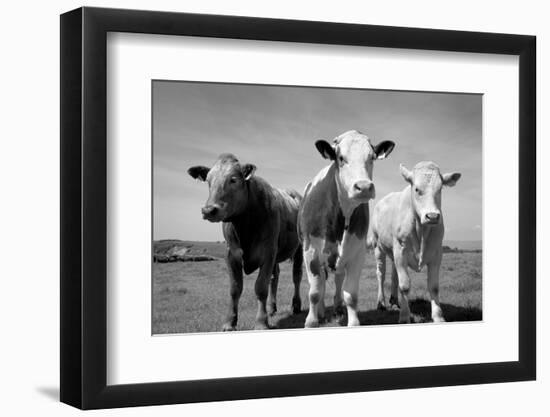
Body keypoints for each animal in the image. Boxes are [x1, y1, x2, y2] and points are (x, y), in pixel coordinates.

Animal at [188, 154, 304, 330]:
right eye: (208, 180)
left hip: (299, 248)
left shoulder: (268, 252)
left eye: (233, 180)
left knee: (296, 276)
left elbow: (261, 287)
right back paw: (271, 308)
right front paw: (229, 322)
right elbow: (235, 288)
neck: (244, 226)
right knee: (275, 277)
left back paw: (296, 305)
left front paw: (261, 322)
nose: (208, 210)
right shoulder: (231, 254)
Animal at [298, 132, 396, 326]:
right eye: (341, 158)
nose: (364, 187)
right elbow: (314, 292)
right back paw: (321, 312)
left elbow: (350, 295)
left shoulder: (357, 253)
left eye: (372, 157)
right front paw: (311, 322)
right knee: (321, 284)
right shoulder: (310, 251)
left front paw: (352, 321)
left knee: (338, 279)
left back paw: (337, 308)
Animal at [370, 160, 462, 322]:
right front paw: (404, 317)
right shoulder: (400, 251)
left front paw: (438, 316)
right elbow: (405, 285)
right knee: (381, 273)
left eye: (440, 189)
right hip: (378, 247)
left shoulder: (437, 253)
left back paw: (394, 301)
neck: (421, 231)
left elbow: (433, 286)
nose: (432, 216)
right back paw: (381, 303)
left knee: (394, 274)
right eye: (417, 189)